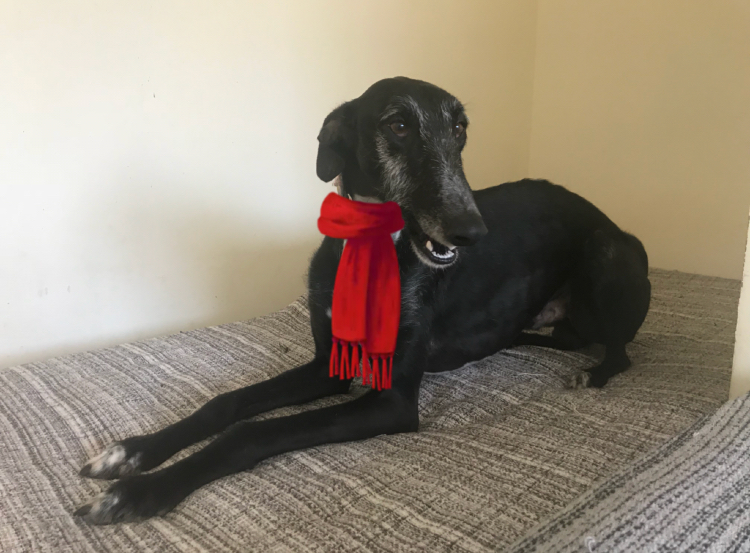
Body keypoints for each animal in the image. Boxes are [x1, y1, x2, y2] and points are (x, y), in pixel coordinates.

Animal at [75, 77, 651, 524]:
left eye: (460, 129)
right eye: (398, 125)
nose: (471, 230)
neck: (374, 254)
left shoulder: (391, 401)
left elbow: (250, 432)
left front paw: (142, 491)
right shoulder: (327, 366)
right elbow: (228, 403)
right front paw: (133, 453)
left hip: (611, 251)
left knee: (620, 351)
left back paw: (591, 375)